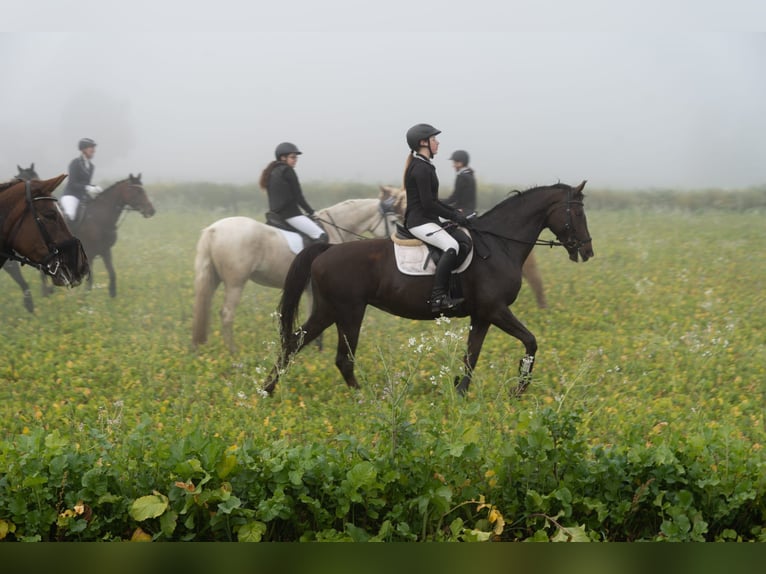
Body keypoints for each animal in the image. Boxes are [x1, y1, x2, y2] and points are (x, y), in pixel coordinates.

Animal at [194, 188, 408, 352]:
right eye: (393, 221)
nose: (397, 244)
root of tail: (213, 230)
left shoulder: (310, 290)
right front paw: (316, 349)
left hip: (214, 279)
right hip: (236, 283)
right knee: (227, 314)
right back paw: (233, 353)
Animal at [268, 182, 596, 398]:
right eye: (579, 214)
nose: (587, 251)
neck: (499, 244)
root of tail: (327, 250)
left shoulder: (482, 315)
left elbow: (471, 355)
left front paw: (460, 393)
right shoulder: (496, 309)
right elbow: (530, 341)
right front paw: (520, 387)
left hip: (329, 310)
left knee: (294, 343)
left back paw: (267, 390)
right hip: (348, 311)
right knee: (340, 358)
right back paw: (366, 398)